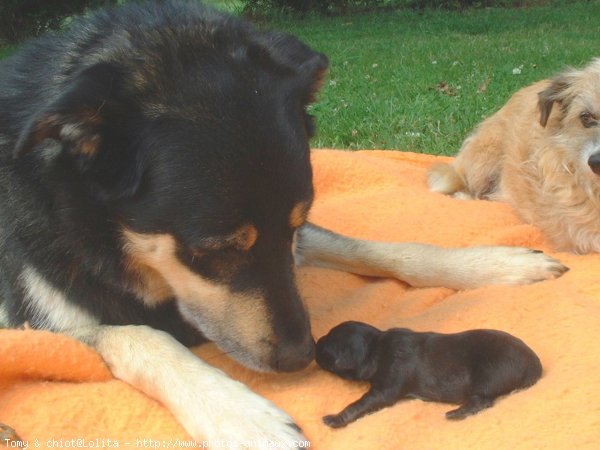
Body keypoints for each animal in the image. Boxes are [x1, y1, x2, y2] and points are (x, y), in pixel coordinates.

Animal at [316, 320, 540, 428]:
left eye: (327, 347)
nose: (316, 341)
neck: (376, 347)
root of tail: (535, 364)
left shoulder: (385, 388)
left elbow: (359, 403)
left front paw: (334, 419)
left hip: (489, 375)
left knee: (483, 401)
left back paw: (456, 413)